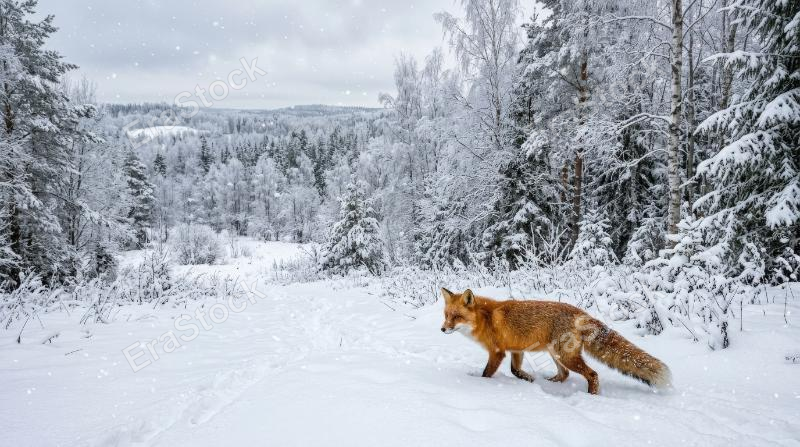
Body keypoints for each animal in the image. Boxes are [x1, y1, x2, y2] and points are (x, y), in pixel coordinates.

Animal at [440, 288, 671, 394]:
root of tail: (581, 313)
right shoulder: (516, 349)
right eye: (446, 315)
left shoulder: (497, 352)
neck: (484, 319)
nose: (442, 329)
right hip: (556, 354)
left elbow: (487, 373)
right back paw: (549, 382)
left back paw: (592, 396)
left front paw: (481, 384)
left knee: (592, 374)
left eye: (456, 317)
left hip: (565, 356)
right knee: (565, 374)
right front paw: (528, 379)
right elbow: (515, 370)